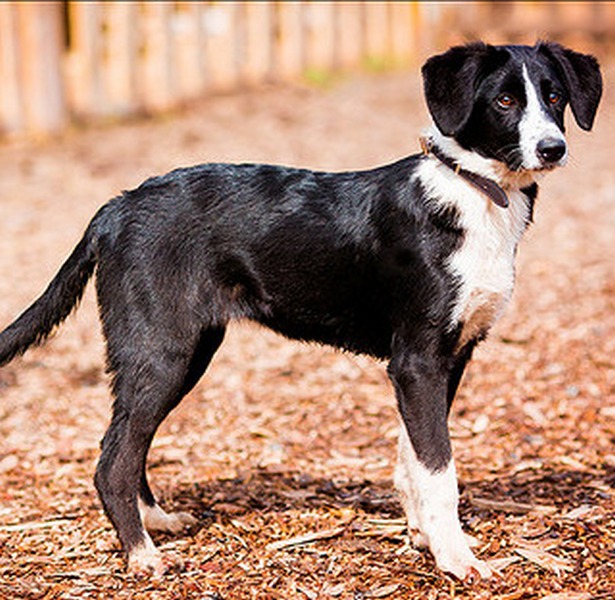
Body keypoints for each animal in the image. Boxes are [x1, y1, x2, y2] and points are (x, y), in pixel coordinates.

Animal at [0, 41, 602, 580]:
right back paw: (142, 556)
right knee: (112, 459)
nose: (552, 148)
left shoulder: (450, 359)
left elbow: (412, 457)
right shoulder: (418, 361)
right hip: (160, 351)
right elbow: (438, 468)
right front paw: (456, 559)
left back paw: (157, 522)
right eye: (504, 101)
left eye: (554, 96)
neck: (474, 190)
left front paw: (422, 536)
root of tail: (117, 206)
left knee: (130, 443)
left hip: (187, 352)